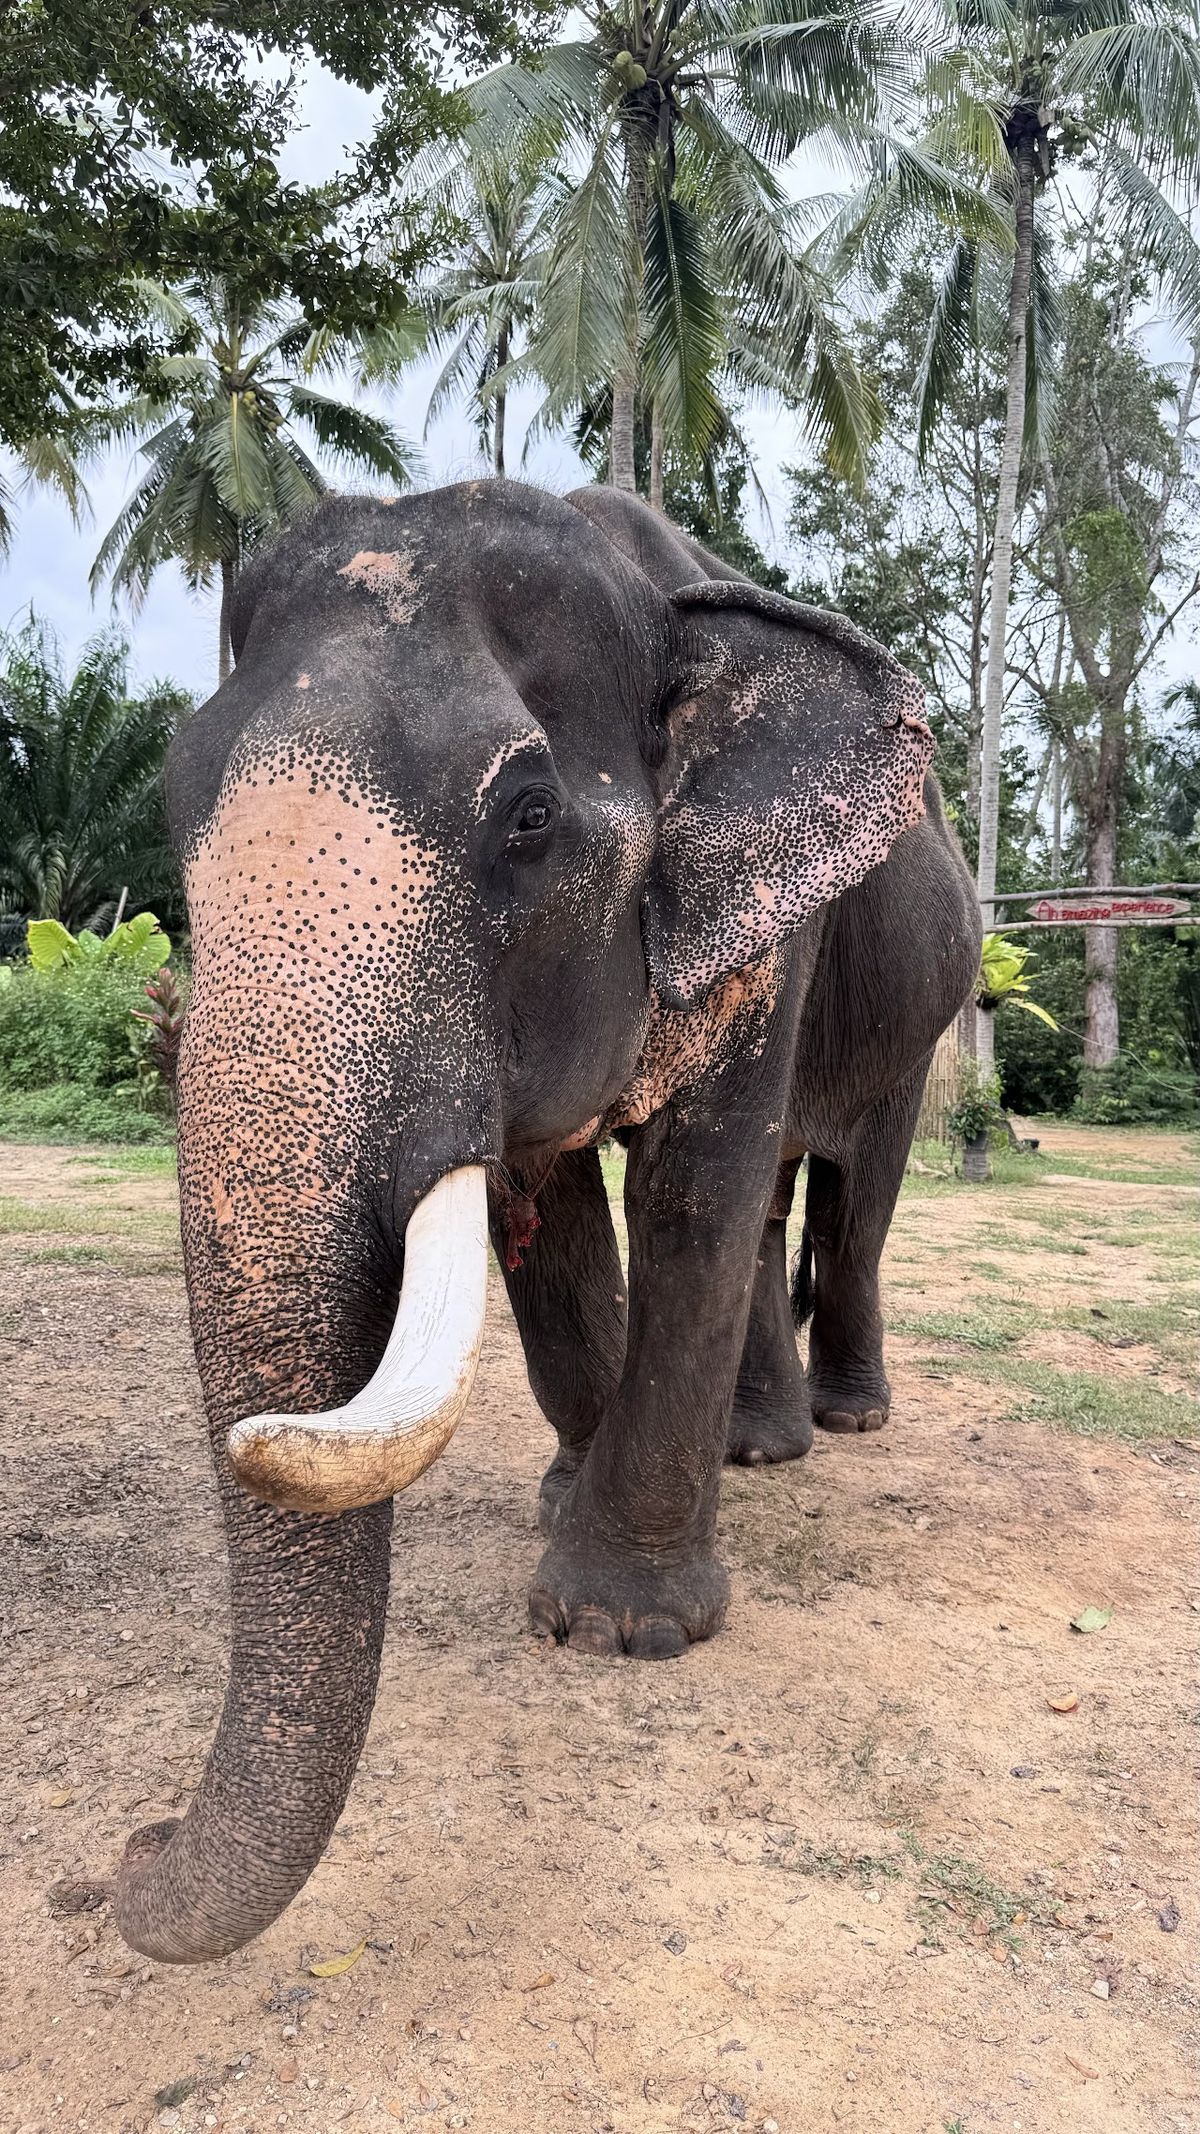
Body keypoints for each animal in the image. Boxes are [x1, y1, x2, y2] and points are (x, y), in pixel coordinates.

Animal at [111, 478, 980, 1965]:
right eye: (171, 805)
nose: (128, 1851)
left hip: (924, 1013)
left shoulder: (772, 926)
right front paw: (565, 1497)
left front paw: (621, 1627)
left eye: (524, 816)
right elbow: (550, 1219)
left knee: (848, 1196)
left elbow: (693, 1186)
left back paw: (845, 1424)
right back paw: (757, 1447)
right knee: (772, 1211)